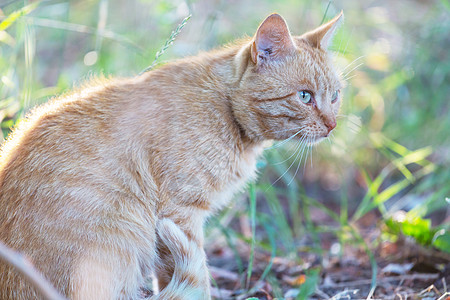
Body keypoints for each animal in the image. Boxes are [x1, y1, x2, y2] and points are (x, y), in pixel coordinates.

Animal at [0, 12, 344, 300]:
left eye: (335, 96)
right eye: (305, 96)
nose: (332, 125)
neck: (224, 108)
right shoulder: (180, 212)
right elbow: (196, 275)